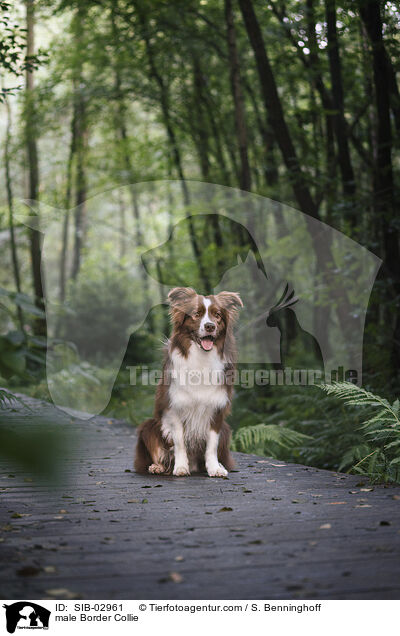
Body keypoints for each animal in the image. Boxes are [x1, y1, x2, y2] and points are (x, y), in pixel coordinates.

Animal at [134, 288, 242, 476]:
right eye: (196, 314)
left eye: (217, 315)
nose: (210, 326)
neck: (201, 358)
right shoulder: (174, 408)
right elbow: (179, 442)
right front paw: (181, 467)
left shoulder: (217, 410)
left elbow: (212, 444)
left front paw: (214, 468)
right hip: (149, 426)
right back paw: (158, 466)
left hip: (226, 430)